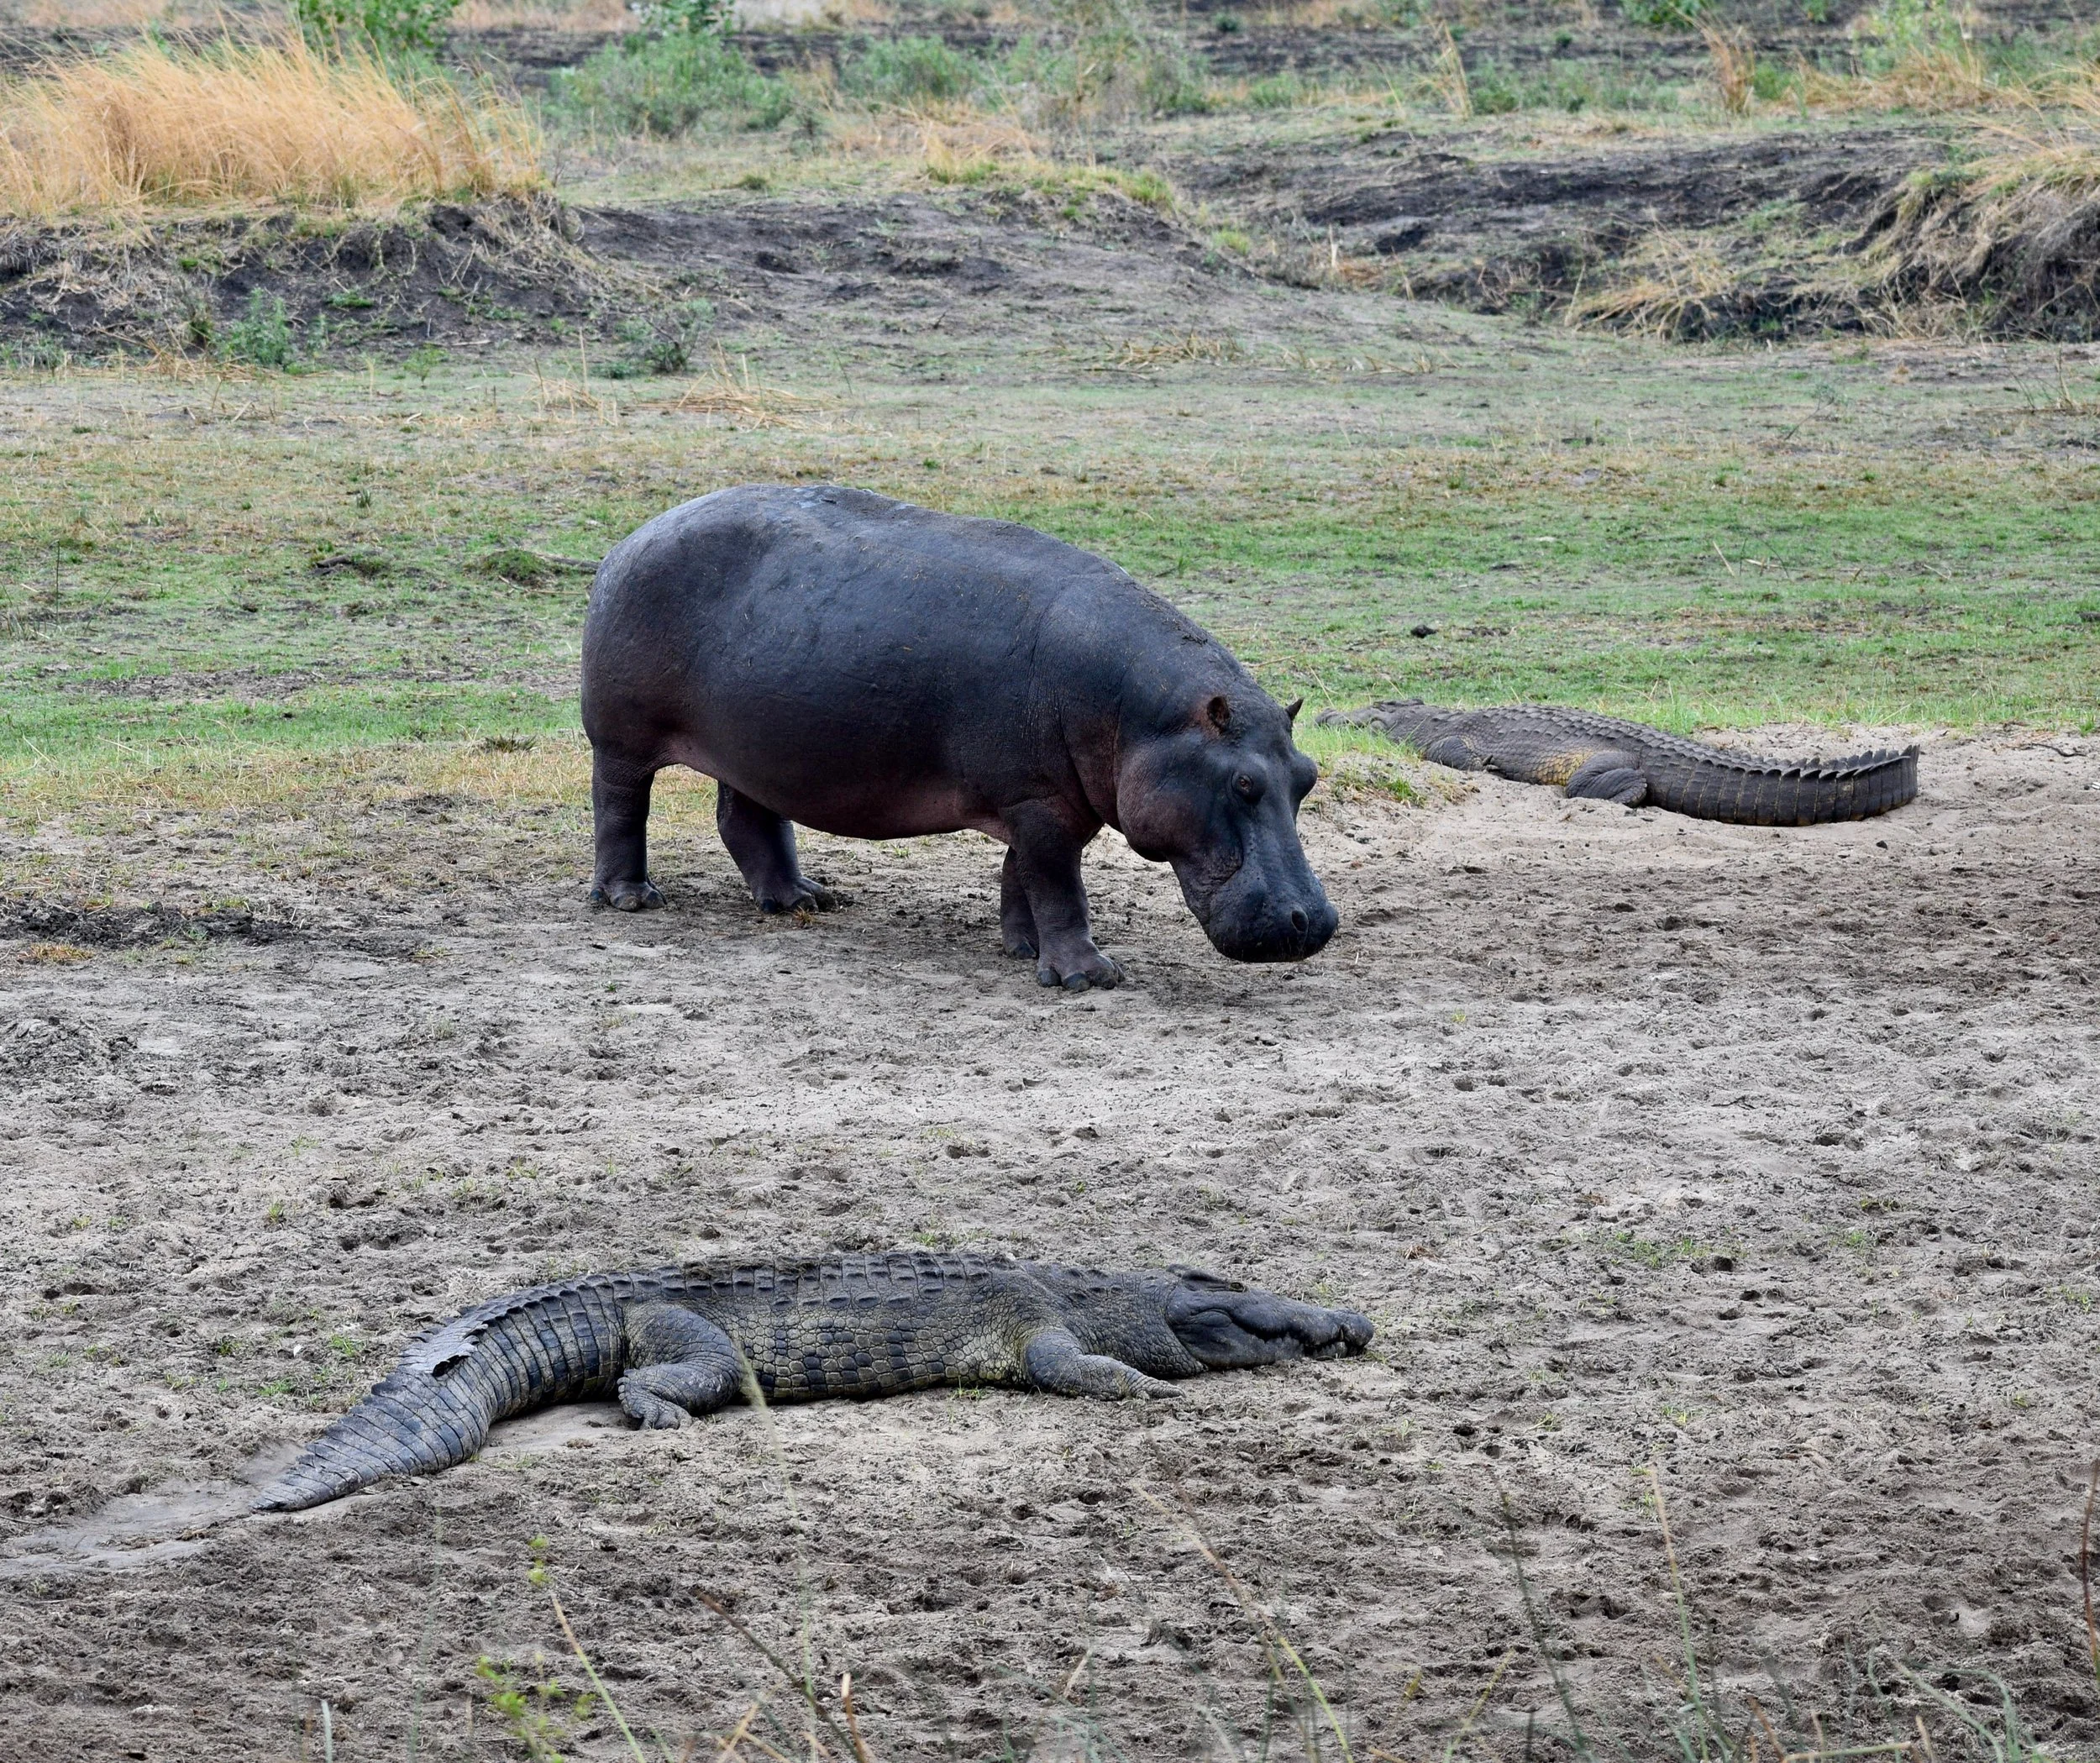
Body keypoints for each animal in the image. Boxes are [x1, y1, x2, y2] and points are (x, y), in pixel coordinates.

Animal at [579, 485, 1337, 989]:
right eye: (1243, 783)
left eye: (1307, 775)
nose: (1317, 922)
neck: (1145, 716)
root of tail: (630, 538)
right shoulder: (1038, 800)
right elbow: (1059, 884)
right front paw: (1089, 975)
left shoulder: (1048, 801)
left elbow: (1024, 876)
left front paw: (1023, 950)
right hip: (620, 740)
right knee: (620, 807)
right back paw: (632, 898)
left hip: (757, 746)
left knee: (746, 819)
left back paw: (805, 899)